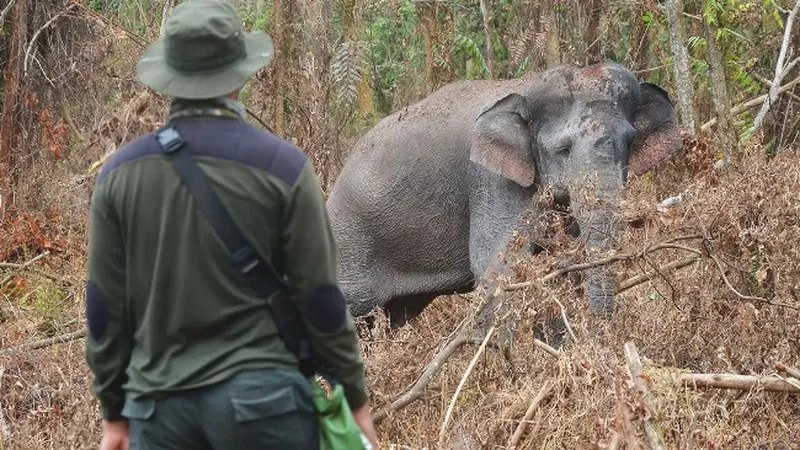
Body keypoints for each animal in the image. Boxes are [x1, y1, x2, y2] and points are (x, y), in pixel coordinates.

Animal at [324, 61, 680, 328]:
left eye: (630, 141)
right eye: (563, 150)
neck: (528, 85)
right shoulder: (489, 178)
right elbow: (498, 268)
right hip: (351, 249)